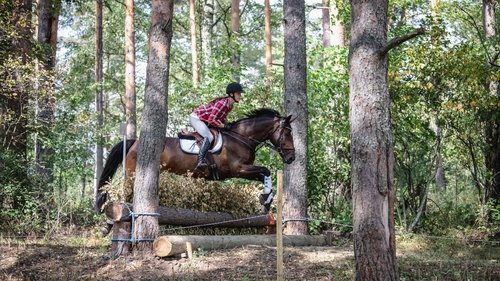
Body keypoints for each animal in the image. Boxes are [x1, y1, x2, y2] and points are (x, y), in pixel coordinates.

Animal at [95, 107, 294, 217]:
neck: (241, 138)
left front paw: (266, 201)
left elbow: (264, 175)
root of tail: (134, 142)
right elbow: (266, 170)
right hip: (133, 172)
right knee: (125, 191)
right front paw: (266, 200)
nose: (292, 158)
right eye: (287, 132)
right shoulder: (237, 169)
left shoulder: (242, 171)